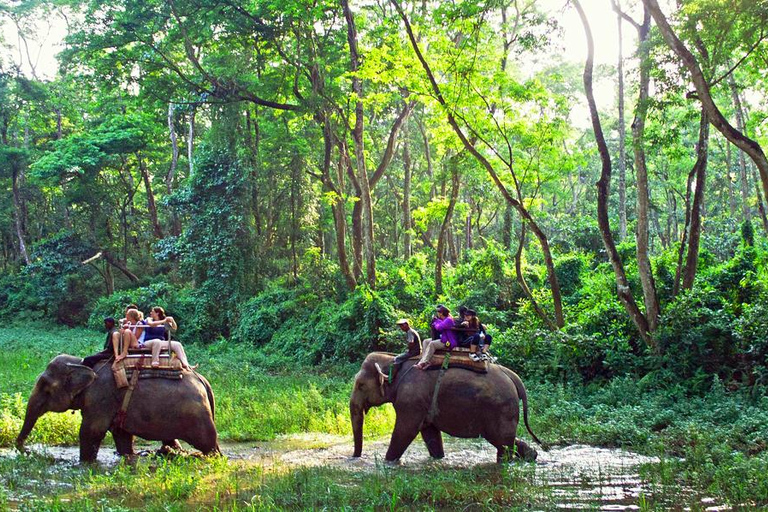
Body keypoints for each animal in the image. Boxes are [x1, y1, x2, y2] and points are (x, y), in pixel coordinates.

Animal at [15, 354, 219, 462]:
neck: (82, 364)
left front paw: (85, 463)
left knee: (208, 444)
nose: (27, 450)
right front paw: (127, 457)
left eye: (45, 388)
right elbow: (121, 435)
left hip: (197, 416)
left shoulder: (100, 397)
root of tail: (203, 380)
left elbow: (91, 431)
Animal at [352, 352, 544, 464]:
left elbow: (406, 430)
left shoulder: (411, 399)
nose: (355, 457)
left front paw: (388, 462)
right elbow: (429, 432)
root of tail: (513, 376)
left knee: (502, 442)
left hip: (501, 408)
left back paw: (505, 462)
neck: (393, 360)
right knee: (505, 440)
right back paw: (532, 456)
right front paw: (438, 458)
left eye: (360, 385)